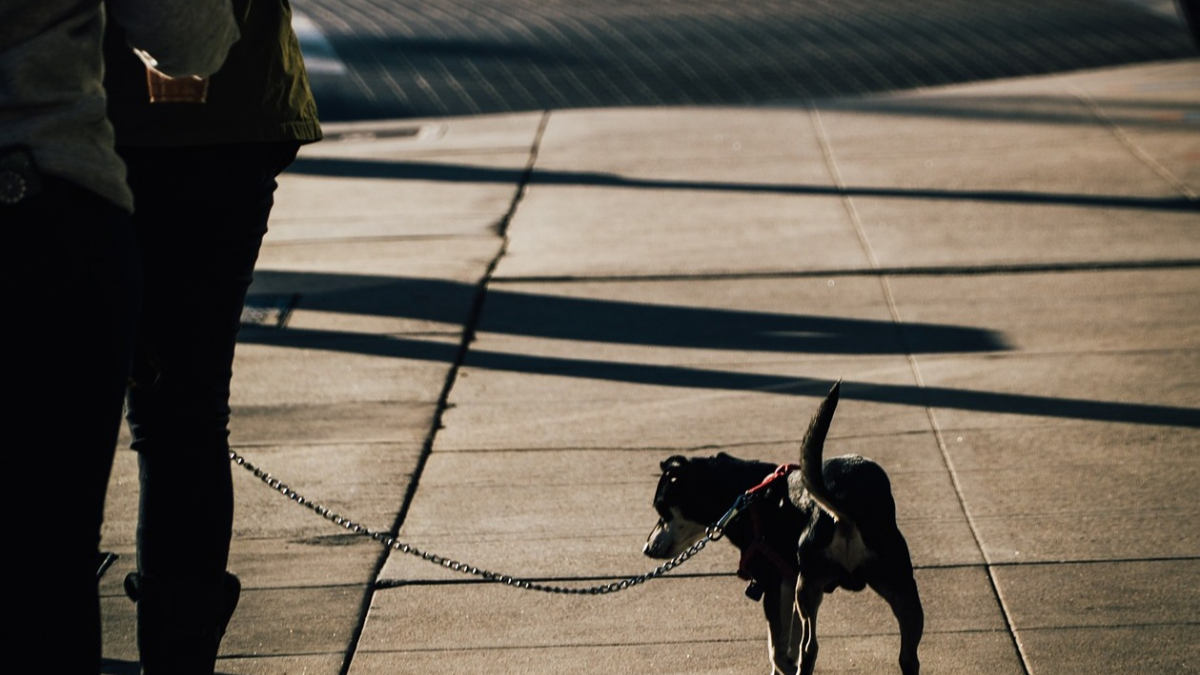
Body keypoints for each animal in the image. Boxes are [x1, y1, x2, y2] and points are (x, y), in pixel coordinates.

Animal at [643, 381, 921, 672]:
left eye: (661, 509)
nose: (646, 548)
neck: (743, 496)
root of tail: (845, 504)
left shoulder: (773, 586)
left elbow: (776, 648)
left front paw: (782, 667)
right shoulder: (789, 582)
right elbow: (789, 640)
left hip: (809, 586)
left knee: (810, 648)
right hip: (898, 587)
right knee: (908, 655)